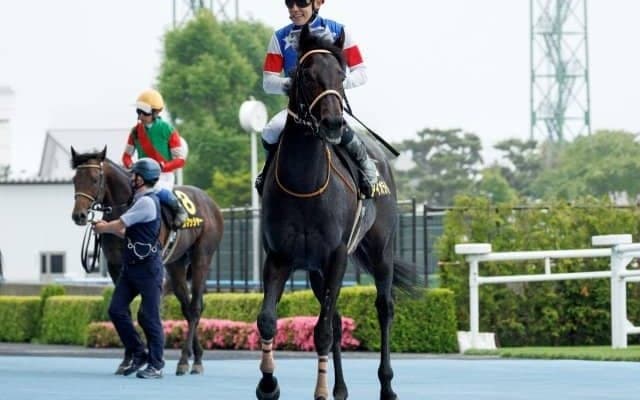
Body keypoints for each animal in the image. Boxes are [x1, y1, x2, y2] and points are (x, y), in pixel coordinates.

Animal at [70, 147, 224, 376]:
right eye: (74, 179)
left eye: (95, 179)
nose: (79, 215)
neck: (127, 207)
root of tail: (210, 201)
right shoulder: (117, 267)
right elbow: (125, 311)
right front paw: (128, 360)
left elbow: (147, 315)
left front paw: (147, 359)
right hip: (176, 265)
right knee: (187, 308)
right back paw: (196, 357)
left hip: (201, 259)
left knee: (195, 307)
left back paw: (186, 361)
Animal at [255, 24, 417, 400]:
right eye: (305, 74)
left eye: (340, 75)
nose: (332, 123)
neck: (304, 185)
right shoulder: (280, 256)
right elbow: (268, 320)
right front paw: (268, 384)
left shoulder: (336, 255)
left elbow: (323, 331)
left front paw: (320, 391)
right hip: (317, 270)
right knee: (338, 318)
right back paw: (341, 388)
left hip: (380, 250)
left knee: (384, 308)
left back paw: (387, 385)